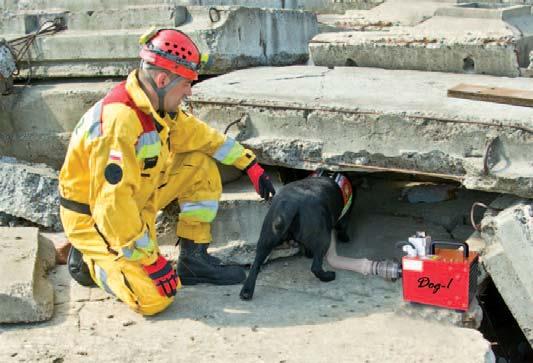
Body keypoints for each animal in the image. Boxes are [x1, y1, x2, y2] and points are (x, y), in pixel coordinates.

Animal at [239, 171, 352, 302]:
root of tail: (290, 204)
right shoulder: (343, 218)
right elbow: (343, 228)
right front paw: (345, 237)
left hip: (266, 239)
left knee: (255, 265)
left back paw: (246, 291)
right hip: (324, 239)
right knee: (316, 267)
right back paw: (328, 276)